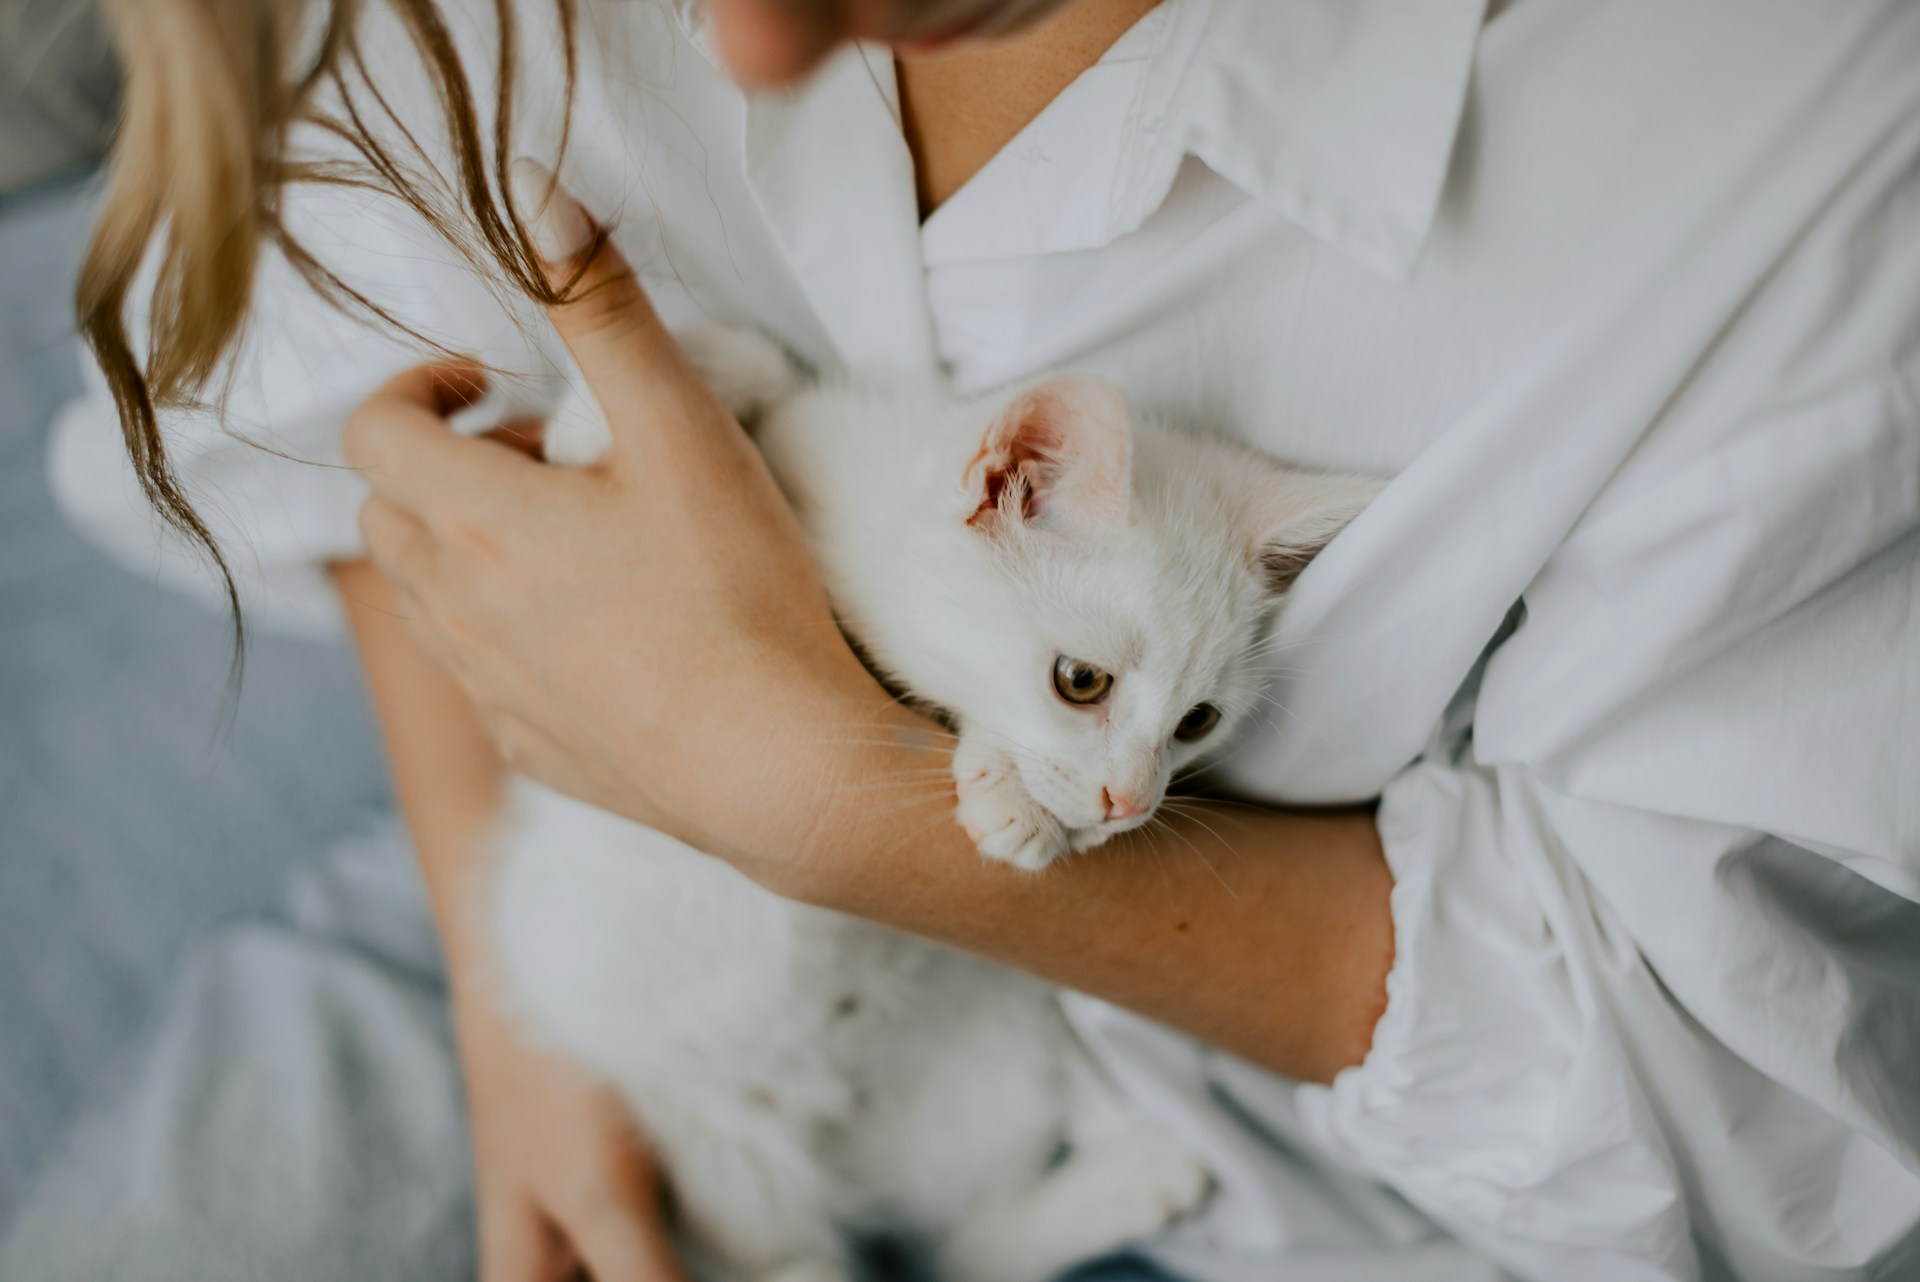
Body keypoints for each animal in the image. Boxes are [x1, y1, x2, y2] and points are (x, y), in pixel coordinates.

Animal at [495, 330, 1382, 1282]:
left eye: (1197, 723)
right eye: (1081, 681)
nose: (1128, 804)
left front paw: (1018, 799)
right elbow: (763, 366)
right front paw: (591, 423)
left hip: (989, 1064)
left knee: (957, 1250)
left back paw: (1129, 1183)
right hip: (702, 1121)